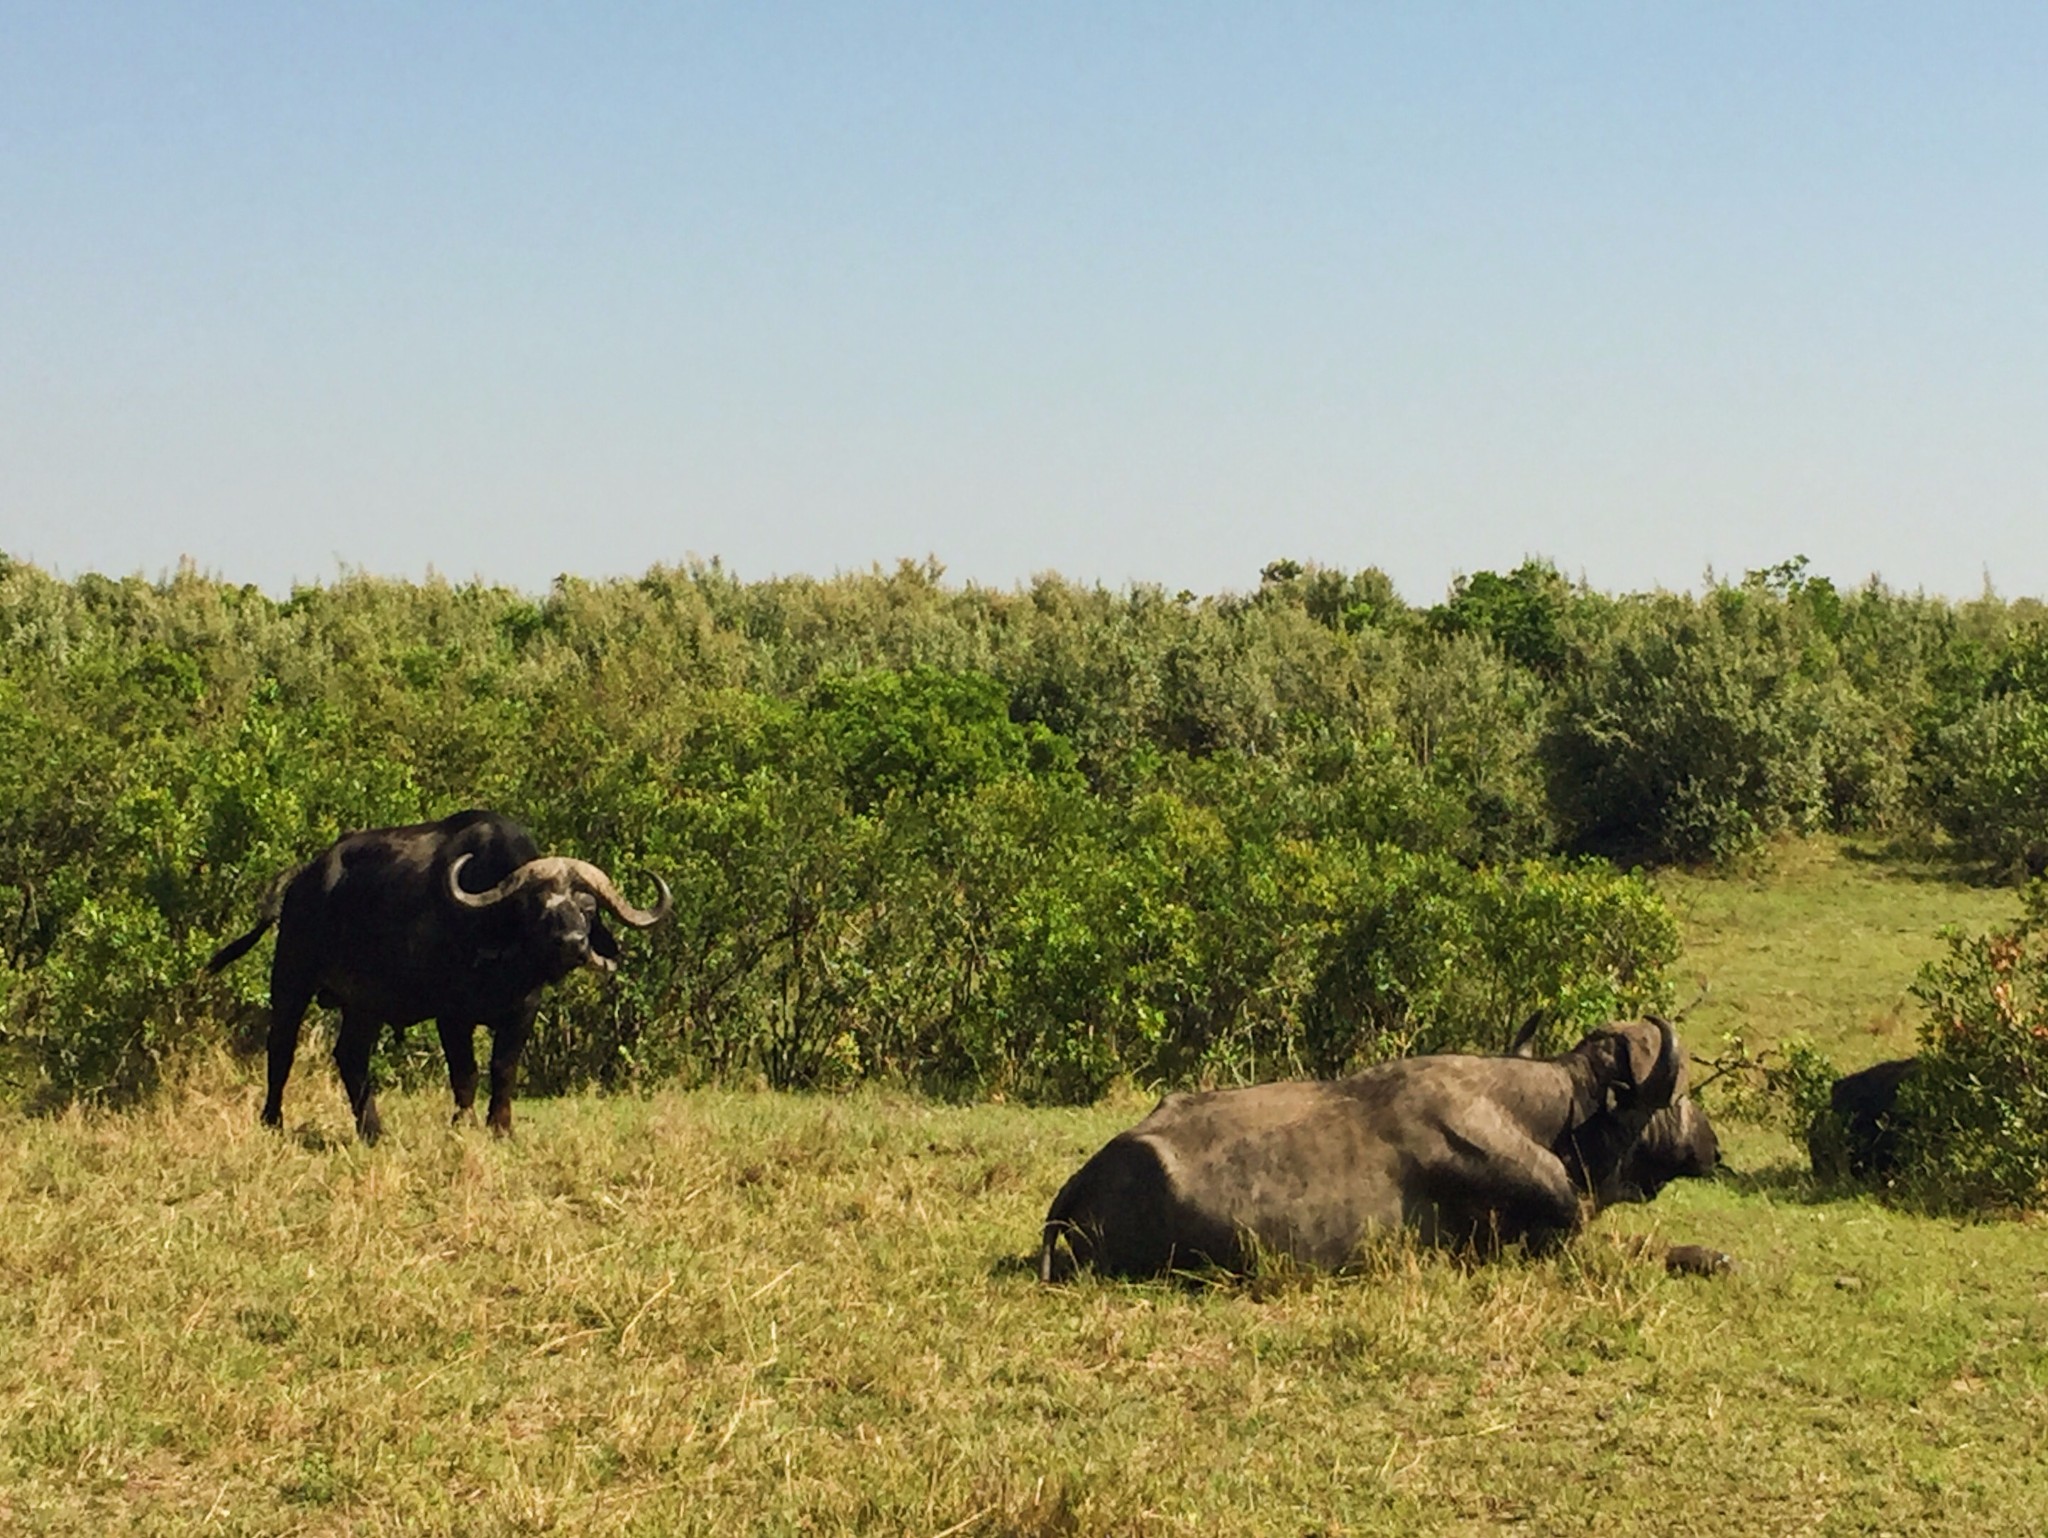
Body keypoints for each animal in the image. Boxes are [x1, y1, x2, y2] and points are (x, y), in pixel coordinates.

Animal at [205, 806, 663, 1146]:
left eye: (588, 908)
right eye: (538, 905)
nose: (572, 942)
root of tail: (305, 879)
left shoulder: (523, 1011)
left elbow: (504, 1069)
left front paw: (501, 1128)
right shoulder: (451, 1014)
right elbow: (465, 1072)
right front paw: (462, 1125)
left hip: (364, 1004)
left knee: (351, 1056)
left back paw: (373, 1131)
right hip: (291, 977)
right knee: (281, 1048)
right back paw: (273, 1121)